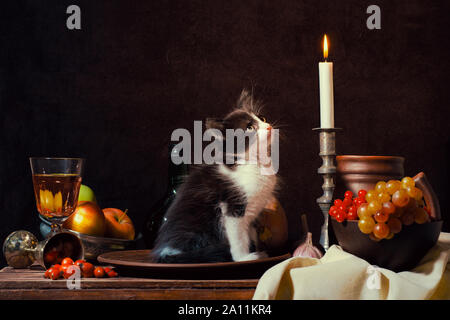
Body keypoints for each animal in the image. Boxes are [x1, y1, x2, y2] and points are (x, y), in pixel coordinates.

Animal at [152, 90, 278, 262]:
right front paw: (244, 257)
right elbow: (238, 237)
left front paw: (255, 249)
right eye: (250, 127)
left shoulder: (251, 215)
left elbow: (249, 233)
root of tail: (164, 251)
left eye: (263, 118)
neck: (255, 163)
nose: (269, 127)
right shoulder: (232, 208)